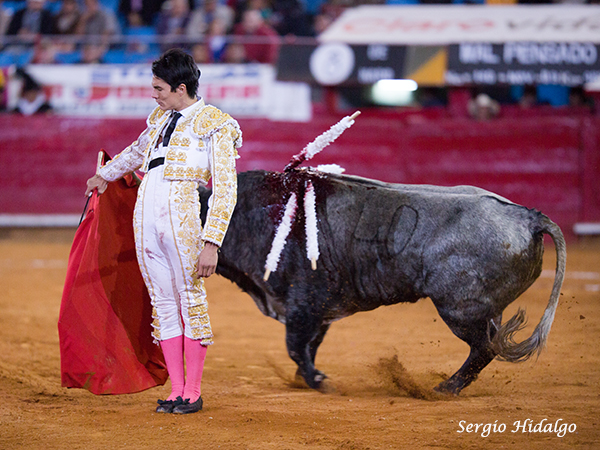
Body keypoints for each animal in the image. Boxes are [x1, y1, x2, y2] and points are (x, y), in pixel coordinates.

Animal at [200, 169, 568, 394]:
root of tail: (527, 217)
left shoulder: (303, 303)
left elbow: (295, 346)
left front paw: (317, 380)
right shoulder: (318, 310)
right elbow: (309, 347)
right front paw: (306, 379)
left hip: (461, 310)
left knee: (483, 348)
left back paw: (444, 388)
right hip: (483, 311)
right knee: (487, 347)